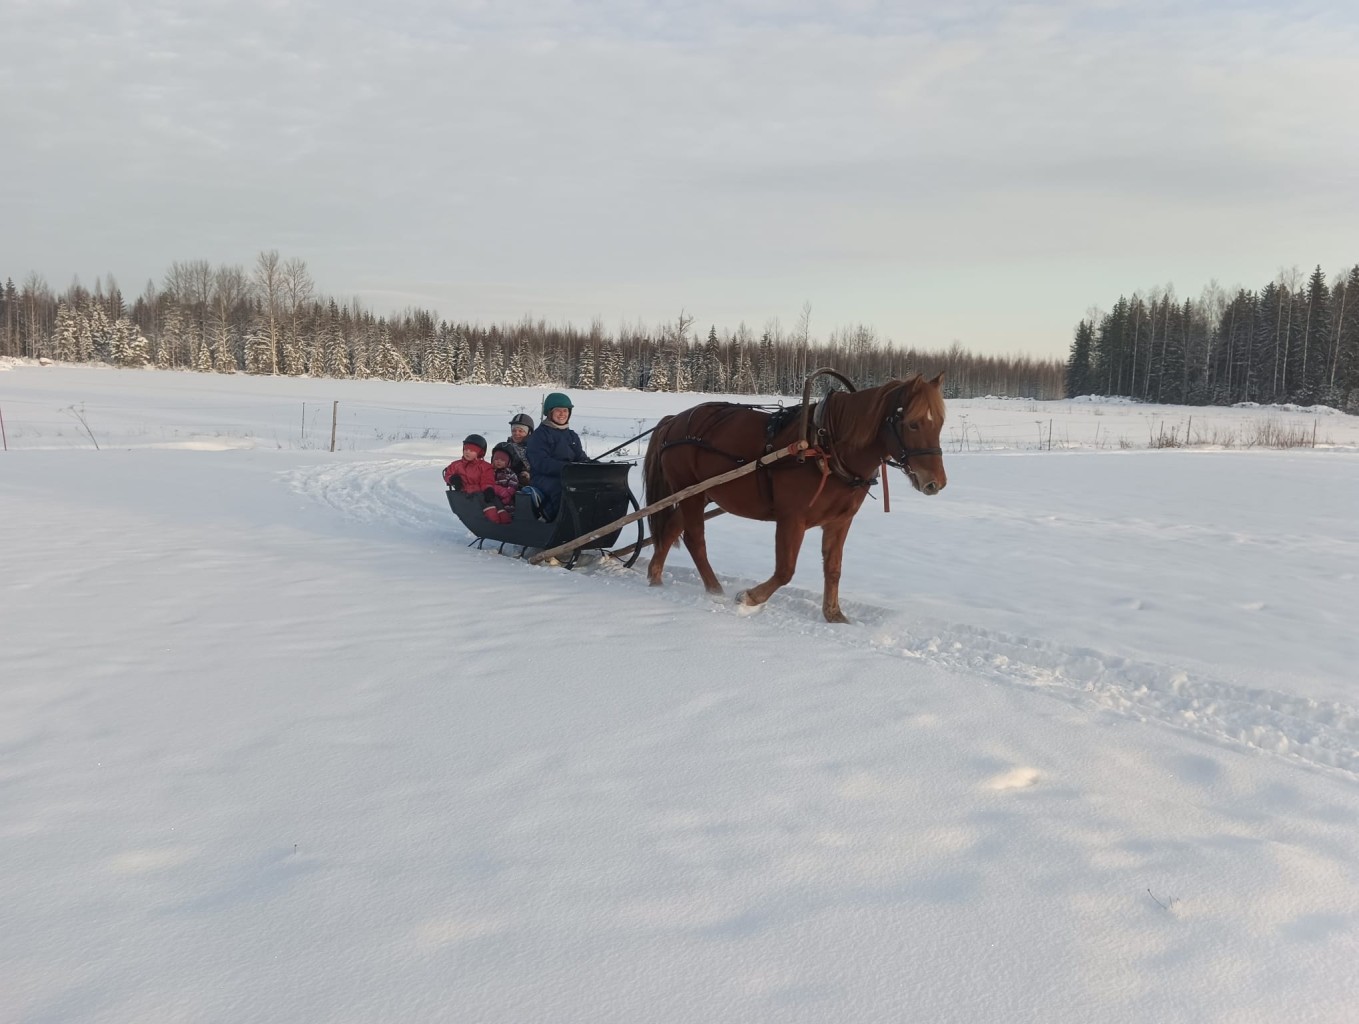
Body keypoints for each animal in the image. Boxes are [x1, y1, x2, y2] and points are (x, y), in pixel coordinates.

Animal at [644, 372, 945, 620]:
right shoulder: (792, 519)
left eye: (940, 422)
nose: (936, 483)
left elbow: (833, 568)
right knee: (695, 540)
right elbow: (785, 570)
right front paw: (750, 597)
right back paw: (714, 589)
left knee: (670, 529)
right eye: (913, 424)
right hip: (690, 492)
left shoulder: (839, 521)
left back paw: (656, 577)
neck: (825, 449)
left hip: (700, 493)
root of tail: (672, 422)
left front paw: (834, 614)